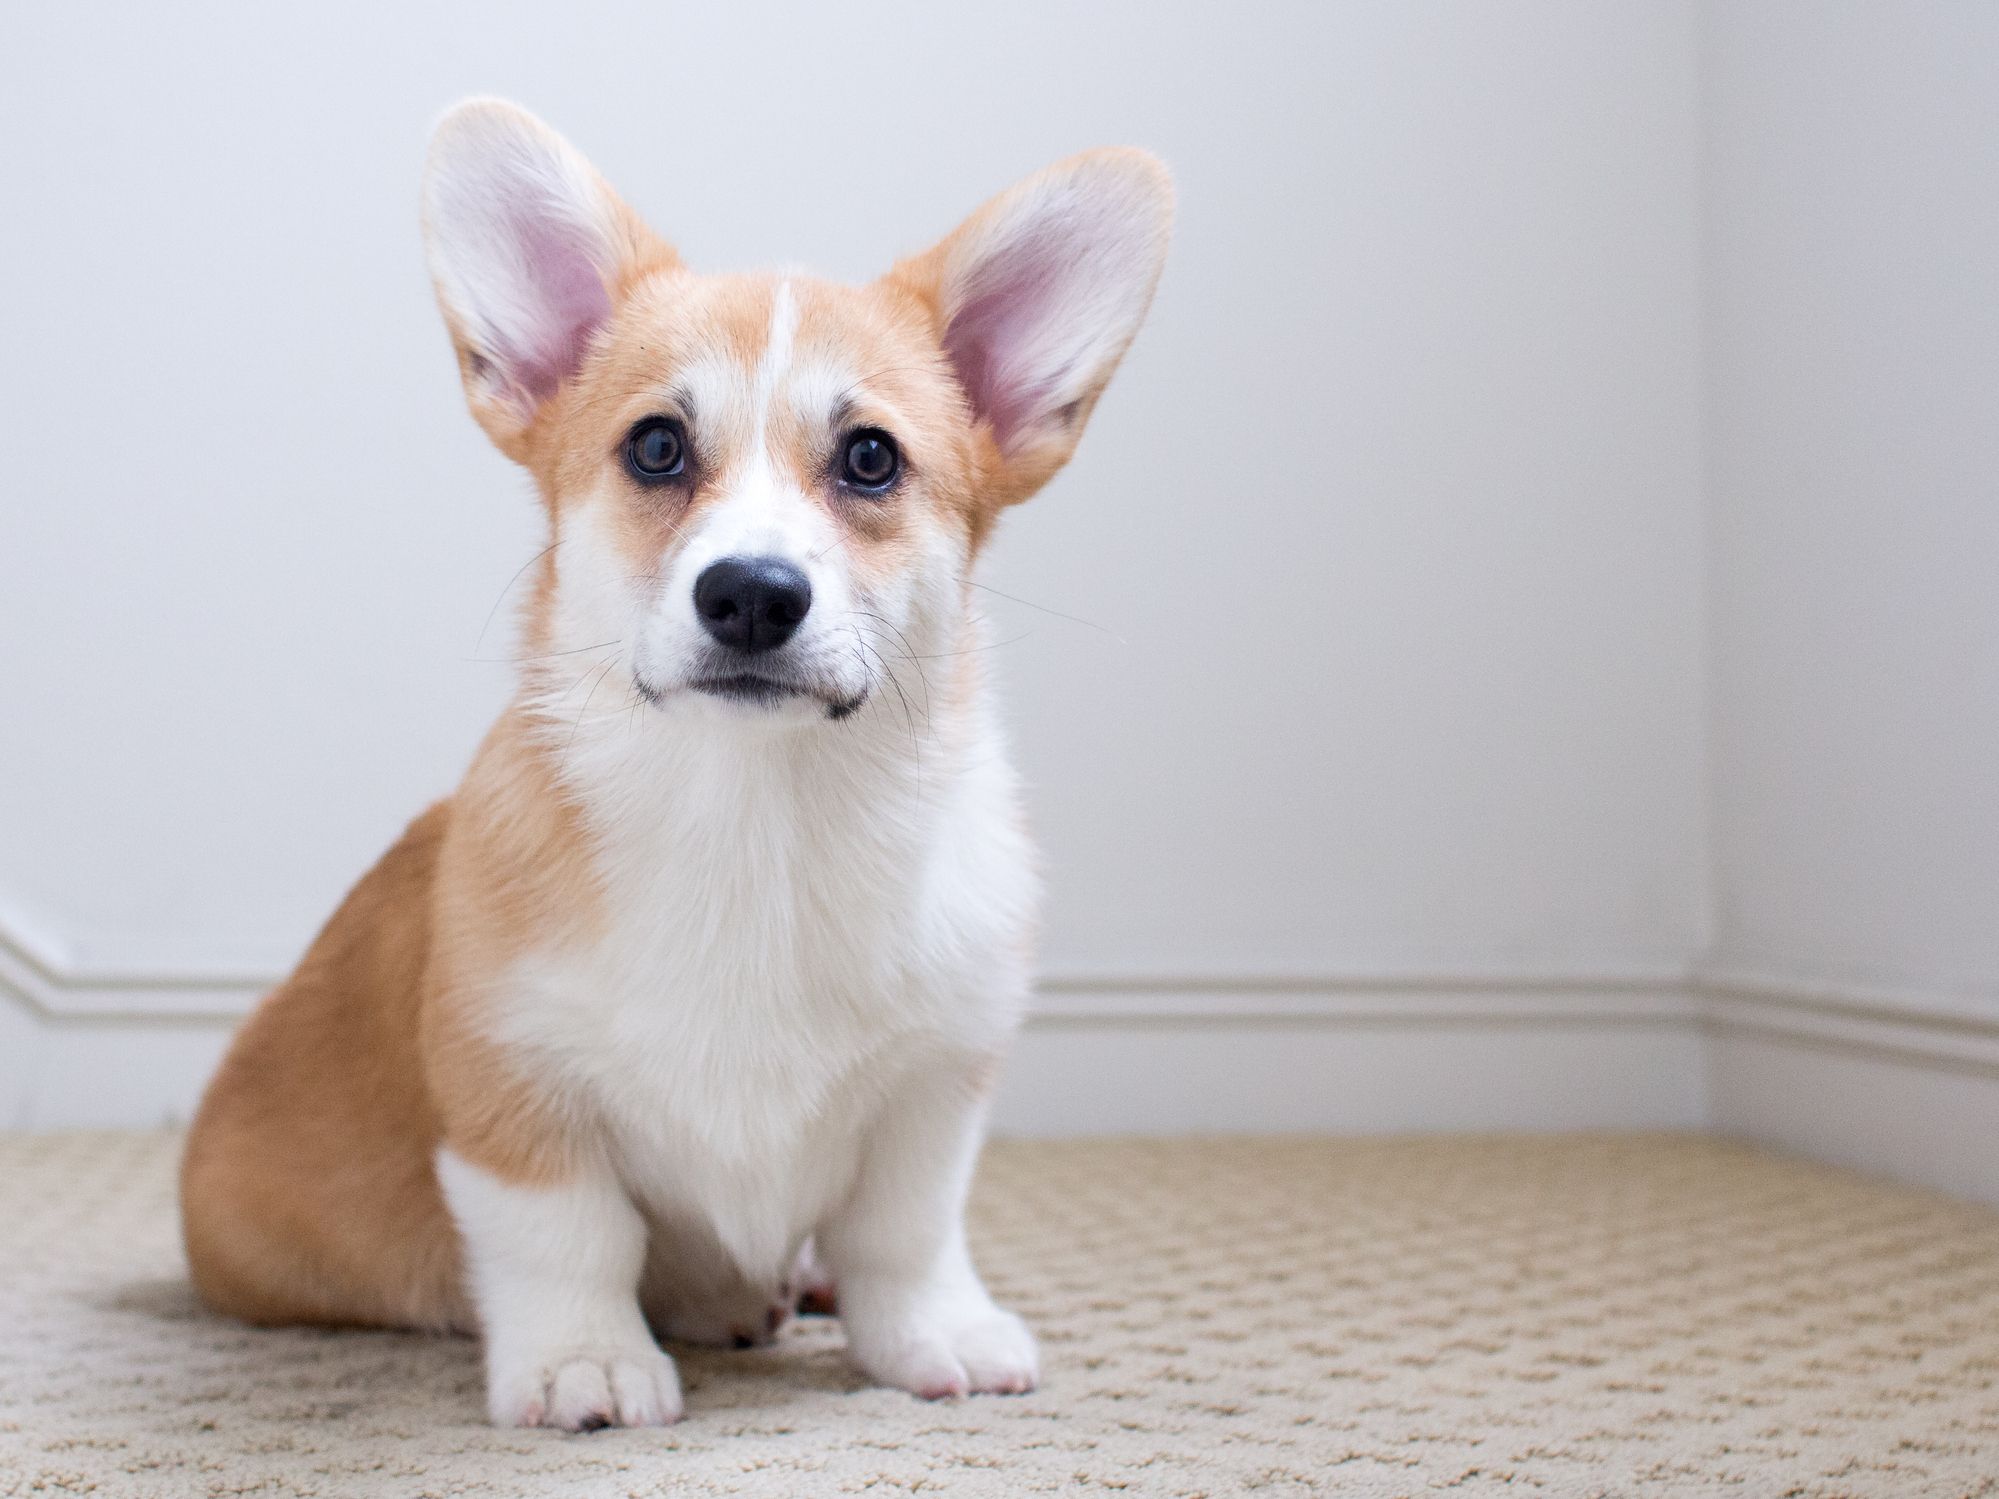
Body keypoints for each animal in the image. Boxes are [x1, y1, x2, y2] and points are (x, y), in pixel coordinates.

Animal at [175, 93, 1167, 1431]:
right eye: (655, 446)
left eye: (870, 459)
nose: (750, 593)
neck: (757, 814)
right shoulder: (513, 1083)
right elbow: (570, 1233)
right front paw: (584, 1361)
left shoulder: (938, 1077)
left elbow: (905, 1229)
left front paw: (929, 1335)